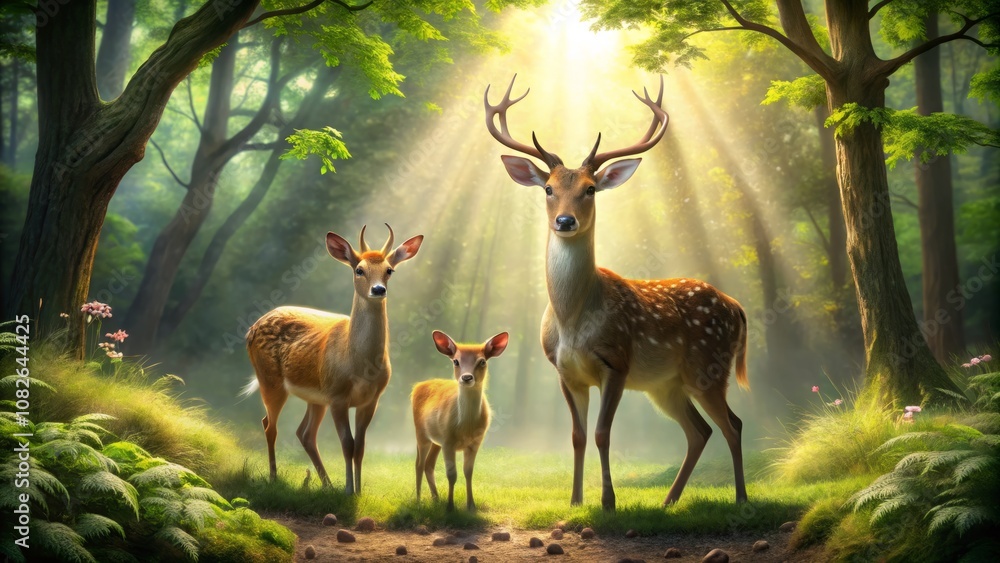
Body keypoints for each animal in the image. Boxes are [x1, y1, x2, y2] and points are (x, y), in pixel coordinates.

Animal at [242, 224, 423, 495]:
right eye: (359, 270)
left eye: (389, 270)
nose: (378, 289)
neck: (359, 364)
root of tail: (251, 328)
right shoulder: (338, 395)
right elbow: (347, 443)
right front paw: (348, 490)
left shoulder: (371, 400)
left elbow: (360, 446)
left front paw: (357, 491)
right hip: (270, 380)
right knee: (269, 425)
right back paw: (274, 477)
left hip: (315, 397)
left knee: (304, 433)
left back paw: (326, 483)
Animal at [411, 330, 509, 512]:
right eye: (456, 361)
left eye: (482, 361)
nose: (467, 377)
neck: (465, 427)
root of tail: (418, 386)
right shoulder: (448, 442)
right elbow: (452, 475)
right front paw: (450, 507)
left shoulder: (475, 443)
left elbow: (468, 473)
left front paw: (471, 506)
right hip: (421, 433)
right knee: (419, 464)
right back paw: (419, 500)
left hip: (437, 440)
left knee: (429, 464)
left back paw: (436, 498)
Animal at [484, 76, 750, 511]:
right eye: (548, 189)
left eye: (591, 189)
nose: (565, 221)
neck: (573, 322)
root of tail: (737, 307)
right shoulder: (564, 371)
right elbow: (577, 436)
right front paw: (575, 501)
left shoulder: (617, 361)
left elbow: (602, 433)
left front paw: (608, 502)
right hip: (666, 385)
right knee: (700, 431)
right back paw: (668, 501)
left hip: (708, 367)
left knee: (733, 424)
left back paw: (742, 498)